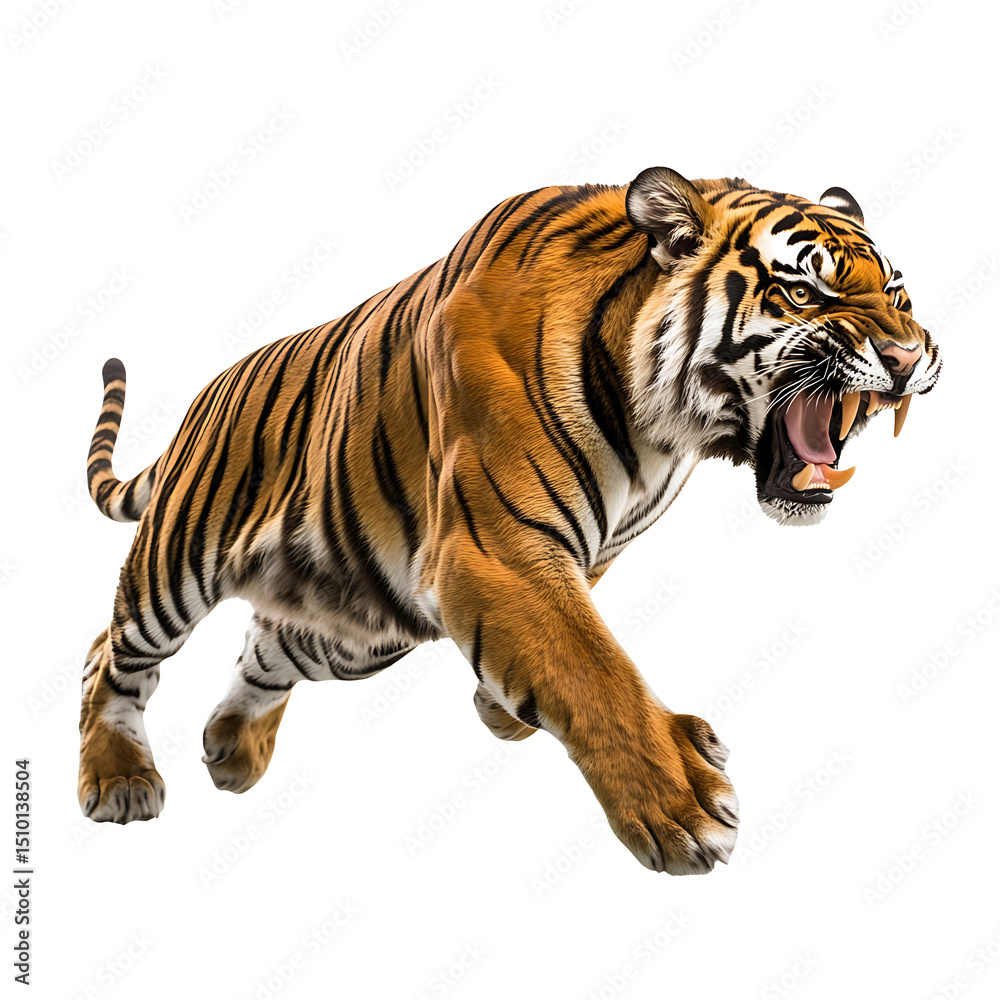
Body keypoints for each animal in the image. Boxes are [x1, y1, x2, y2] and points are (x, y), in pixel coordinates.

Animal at [78, 166, 941, 875]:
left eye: (897, 295)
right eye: (806, 294)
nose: (909, 358)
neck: (664, 430)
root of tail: (209, 393)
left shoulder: (574, 553)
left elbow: (563, 644)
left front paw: (501, 709)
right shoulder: (496, 550)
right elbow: (592, 666)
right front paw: (683, 804)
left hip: (358, 626)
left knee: (266, 650)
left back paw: (231, 749)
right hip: (178, 562)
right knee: (110, 652)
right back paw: (118, 777)